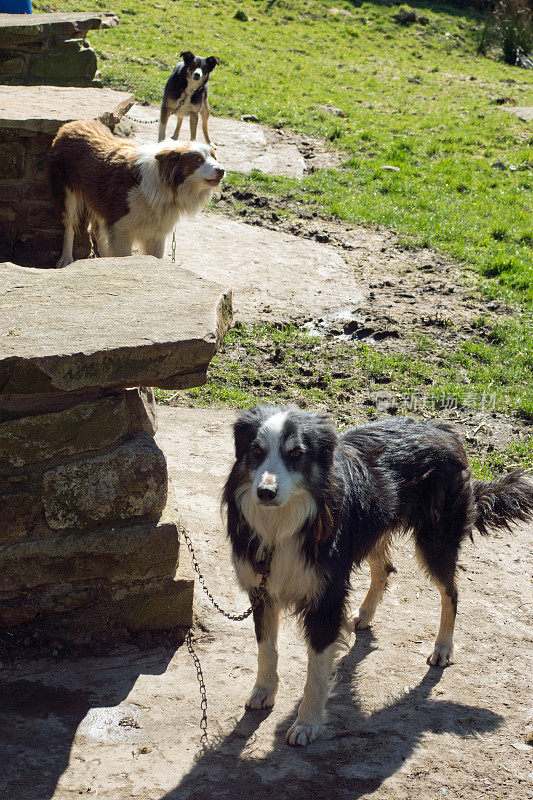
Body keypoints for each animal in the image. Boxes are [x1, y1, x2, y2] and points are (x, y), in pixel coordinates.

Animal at [46, 119, 223, 268]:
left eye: (214, 157)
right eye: (198, 160)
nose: (221, 170)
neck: (163, 183)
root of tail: (71, 124)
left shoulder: (156, 234)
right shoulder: (122, 228)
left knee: (96, 227)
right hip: (66, 194)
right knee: (69, 226)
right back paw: (65, 259)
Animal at [222, 410, 532, 748]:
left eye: (296, 454)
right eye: (256, 450)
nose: (264, 493)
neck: (283, 524)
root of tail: (444, 429)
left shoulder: (327, 597)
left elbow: (316, 669)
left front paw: (307, 723)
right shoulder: (261, 587)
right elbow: (267, 647)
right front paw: (264, 690)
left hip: (435, 539)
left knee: (451, 592)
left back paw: (443, 647)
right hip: (374, 528)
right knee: (385, 568)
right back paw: (366, 614)